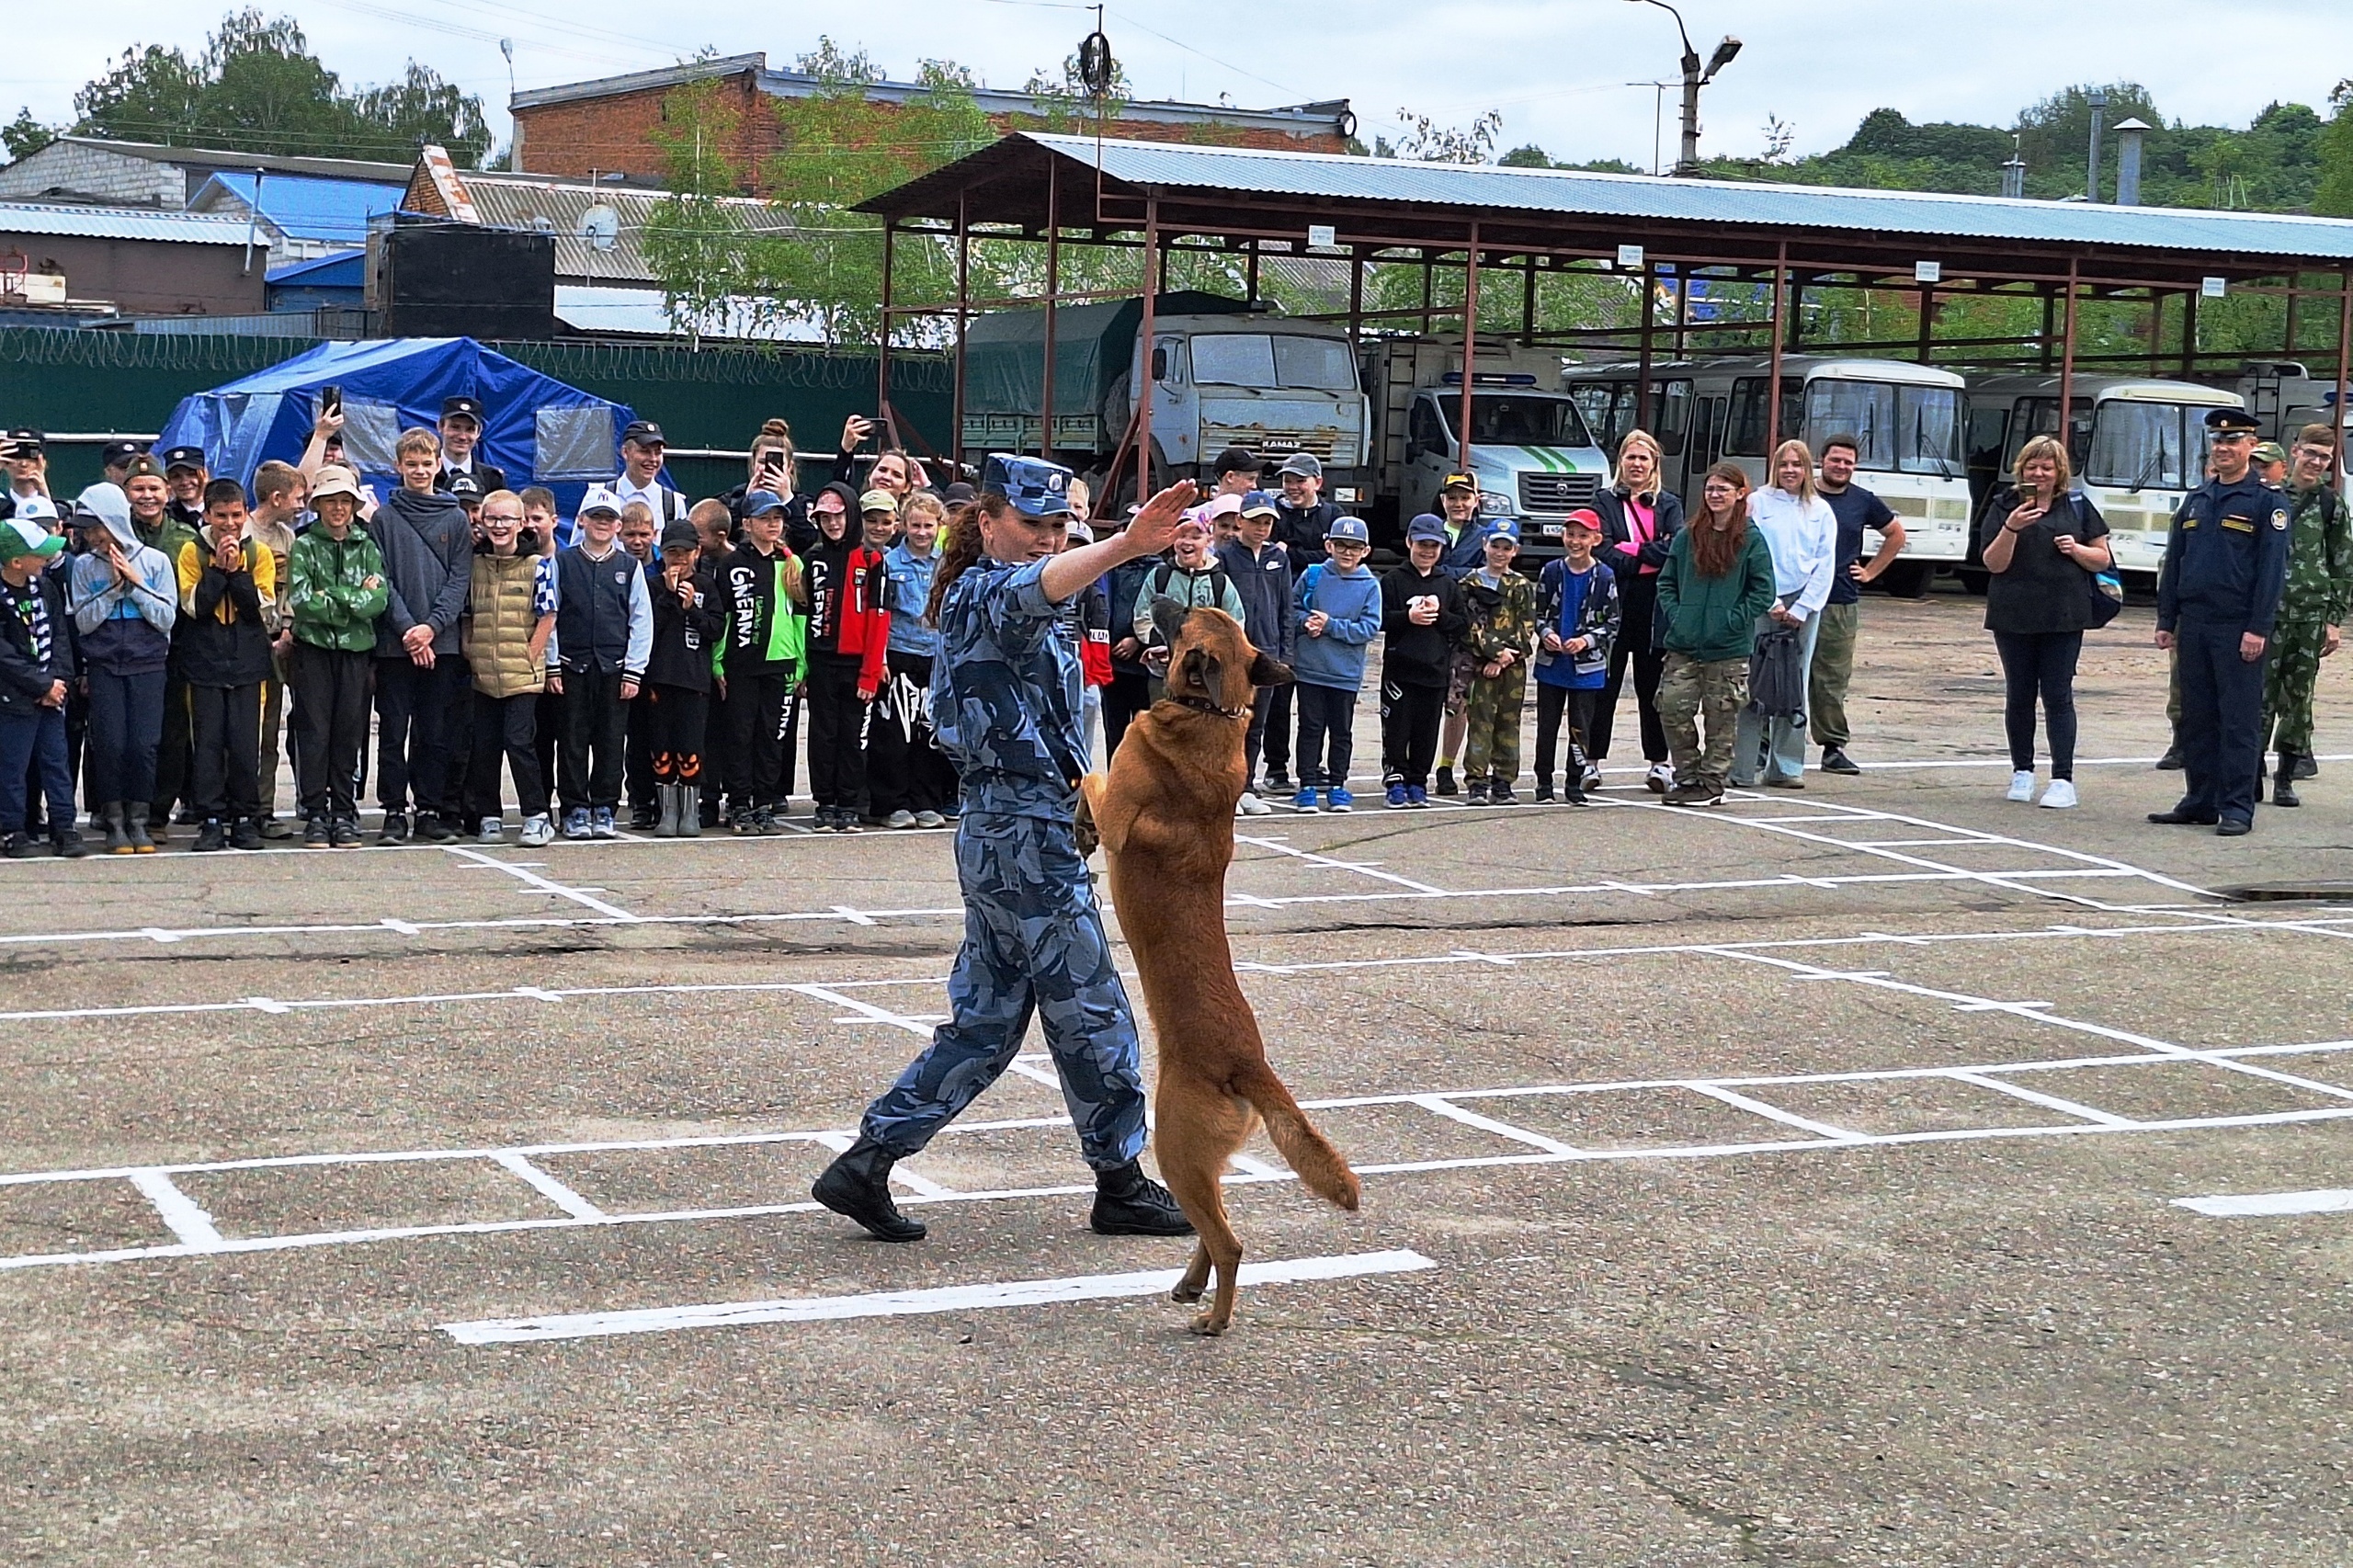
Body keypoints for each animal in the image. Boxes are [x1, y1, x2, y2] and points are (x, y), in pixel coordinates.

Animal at [1073, 597, 1355, 1327]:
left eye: (1185, 619)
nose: (1155, 599)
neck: (1211, 714)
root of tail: (1248, 1065)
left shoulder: (1119, 809)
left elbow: (1089, 774)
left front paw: (1078, 822)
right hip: (1201, 1163)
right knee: (1216, 1227)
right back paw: (1190, 1284)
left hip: (1175, 1144)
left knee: (1230, 1241)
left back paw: (1214, 1316)